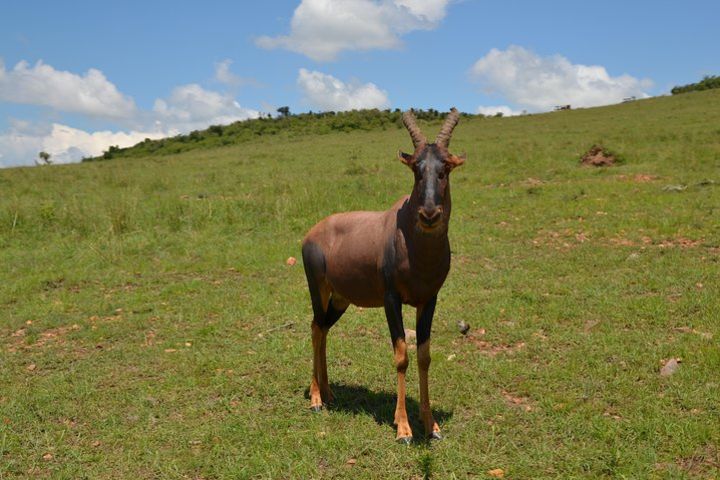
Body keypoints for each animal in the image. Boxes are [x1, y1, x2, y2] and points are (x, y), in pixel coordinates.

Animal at [300, 108, 464, 442]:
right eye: (416, 168)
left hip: (340, 299)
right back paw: (316, 399)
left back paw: (329, 393)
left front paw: (431, 425)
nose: (429, 214)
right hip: (318, 288)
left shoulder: (429, 300)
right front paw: (403, 428)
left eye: (445, 168)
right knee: (315, 328)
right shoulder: (391, 299)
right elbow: (401, 355)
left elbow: (424, 356)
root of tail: (312, 233)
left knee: (323, 329)